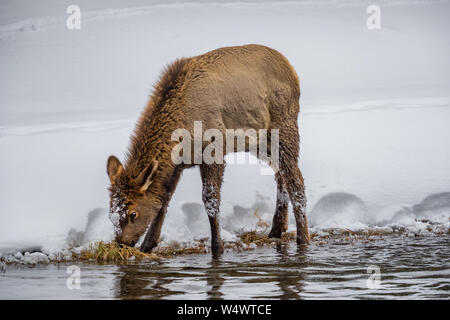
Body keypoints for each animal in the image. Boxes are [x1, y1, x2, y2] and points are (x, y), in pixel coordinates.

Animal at [106, 43, 310, 258]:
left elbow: (211, 200)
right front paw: (148, 245)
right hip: (260, 143)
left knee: (295, 180)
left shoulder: (213, 151)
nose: (121, 243)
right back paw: (277, 228)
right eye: (111, 211)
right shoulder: (177, 165)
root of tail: (292, 70)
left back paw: (303, 237)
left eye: (133, 213)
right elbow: (163, 200)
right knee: (280, 175)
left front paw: (217, 247)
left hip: (284, 128)